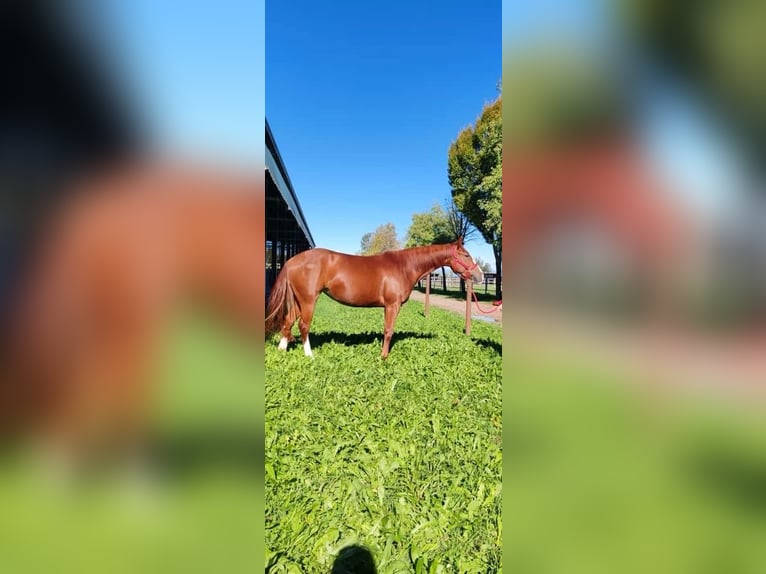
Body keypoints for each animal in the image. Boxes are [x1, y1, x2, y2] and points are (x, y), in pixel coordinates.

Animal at [265, 237, 484, 358]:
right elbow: (388, 331)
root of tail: (292, 260)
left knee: (288, 321)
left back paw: (282, 350)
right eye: (466, 255)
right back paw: (310, 355)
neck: (404, 266)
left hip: (298, 300)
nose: (480, 275)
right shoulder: (392, 305)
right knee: (303, 325)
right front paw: (384, 356)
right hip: (309, 300)